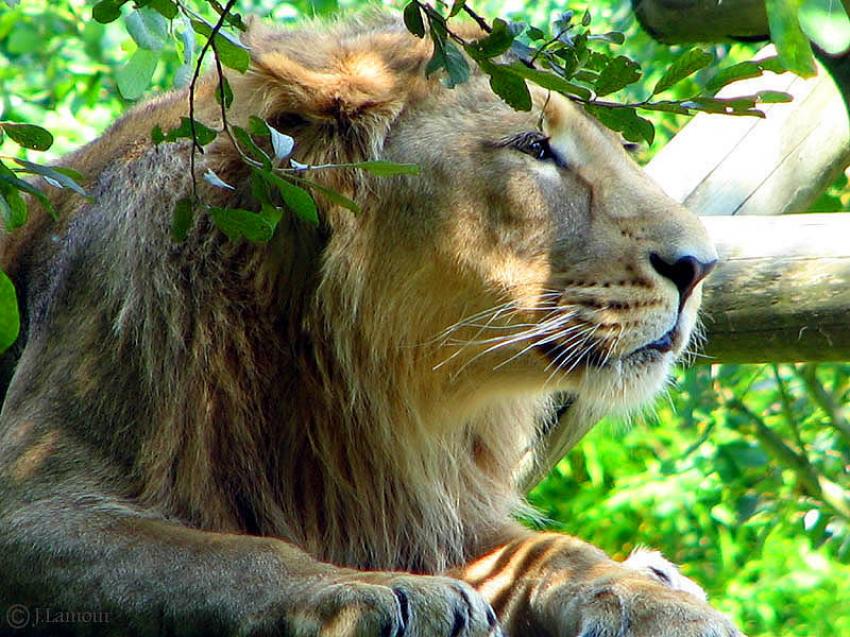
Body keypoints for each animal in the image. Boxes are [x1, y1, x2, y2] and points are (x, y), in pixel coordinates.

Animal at [0, 11, 737, 637]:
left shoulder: (418, 502)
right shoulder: (32, 499)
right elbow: (229, 556)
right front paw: (376, 593)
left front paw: (656, 601)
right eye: (533, 145)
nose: (699, 265)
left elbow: (552, 551)